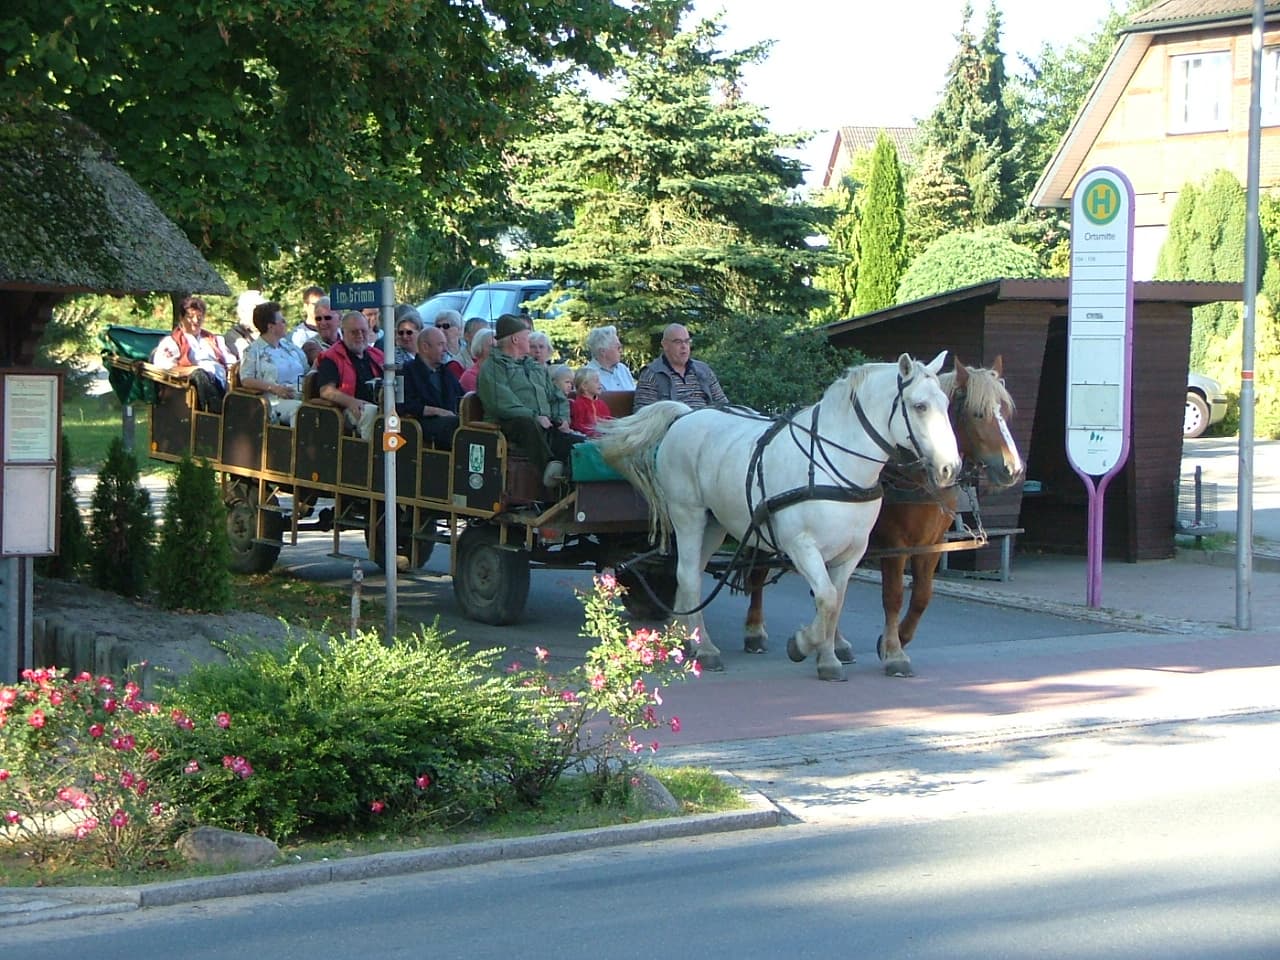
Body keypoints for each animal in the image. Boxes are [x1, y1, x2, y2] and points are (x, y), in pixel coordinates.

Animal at [596, 355, 962, 686]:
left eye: (946, 403)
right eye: (919, 406)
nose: (951, 468)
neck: (834, 463)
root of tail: (686, 415)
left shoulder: (852, 551)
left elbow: (835, 602)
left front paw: (828, 660)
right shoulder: (802, 546)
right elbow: (826, 598)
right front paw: (801, 644)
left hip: (714, 524)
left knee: (692, 574)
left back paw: (686, 637)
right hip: (688, 514)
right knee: (687, 574)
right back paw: (706, 649)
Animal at [742, 358, 1018, 680]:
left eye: (1005, 411)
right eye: (978, 413)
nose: (1013, 469)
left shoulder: (931, 544)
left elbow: (922, 595)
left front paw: (897, 639)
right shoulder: (894, 544)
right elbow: (893, 596)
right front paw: (894, 651)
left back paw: (836, 644)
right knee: (759, 572)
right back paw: (755, 631)